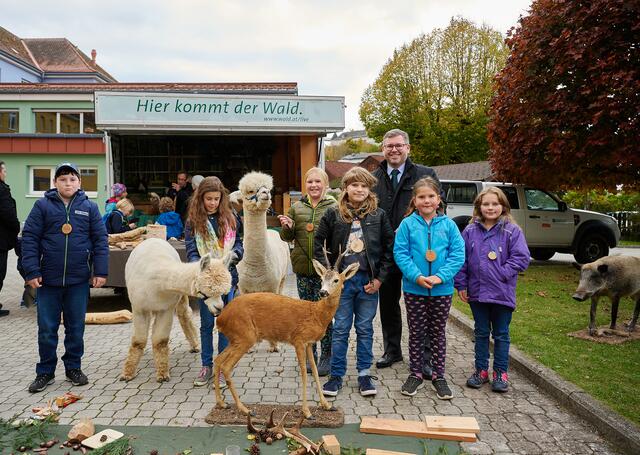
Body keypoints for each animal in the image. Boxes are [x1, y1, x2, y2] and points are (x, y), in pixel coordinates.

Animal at [212, 248, 358, 418]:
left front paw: (326, 405)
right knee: (226, 366)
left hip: (236, 338)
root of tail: (220, 318)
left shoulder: (309, 343)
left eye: (336, 280)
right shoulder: (298, 339)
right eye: (321, 279)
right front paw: (307, 411)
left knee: (218, 360)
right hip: (245, 336)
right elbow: (303, 372)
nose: (323, 292)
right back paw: (245, 409)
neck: (317, 314)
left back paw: (222, 403)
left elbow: (314, 370)